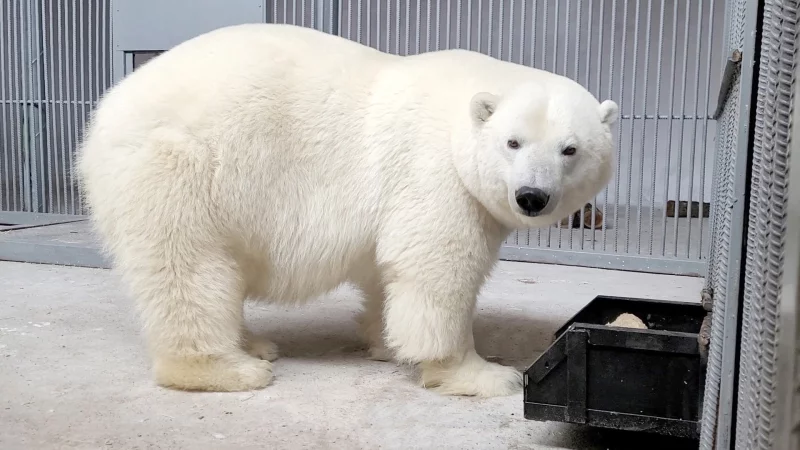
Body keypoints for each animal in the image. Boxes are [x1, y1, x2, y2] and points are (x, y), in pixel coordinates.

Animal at [78, 23, 620, 398]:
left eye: (570, 149)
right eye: (513, 142)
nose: (532, 196)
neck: (459, 107)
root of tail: (102, 117)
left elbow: (389, 270)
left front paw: (384, 342)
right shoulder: (433, 172)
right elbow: (437, 270)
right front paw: (481, 374)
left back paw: (252, 344)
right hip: (179, 168)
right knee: (187, 269)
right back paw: (230, 367)